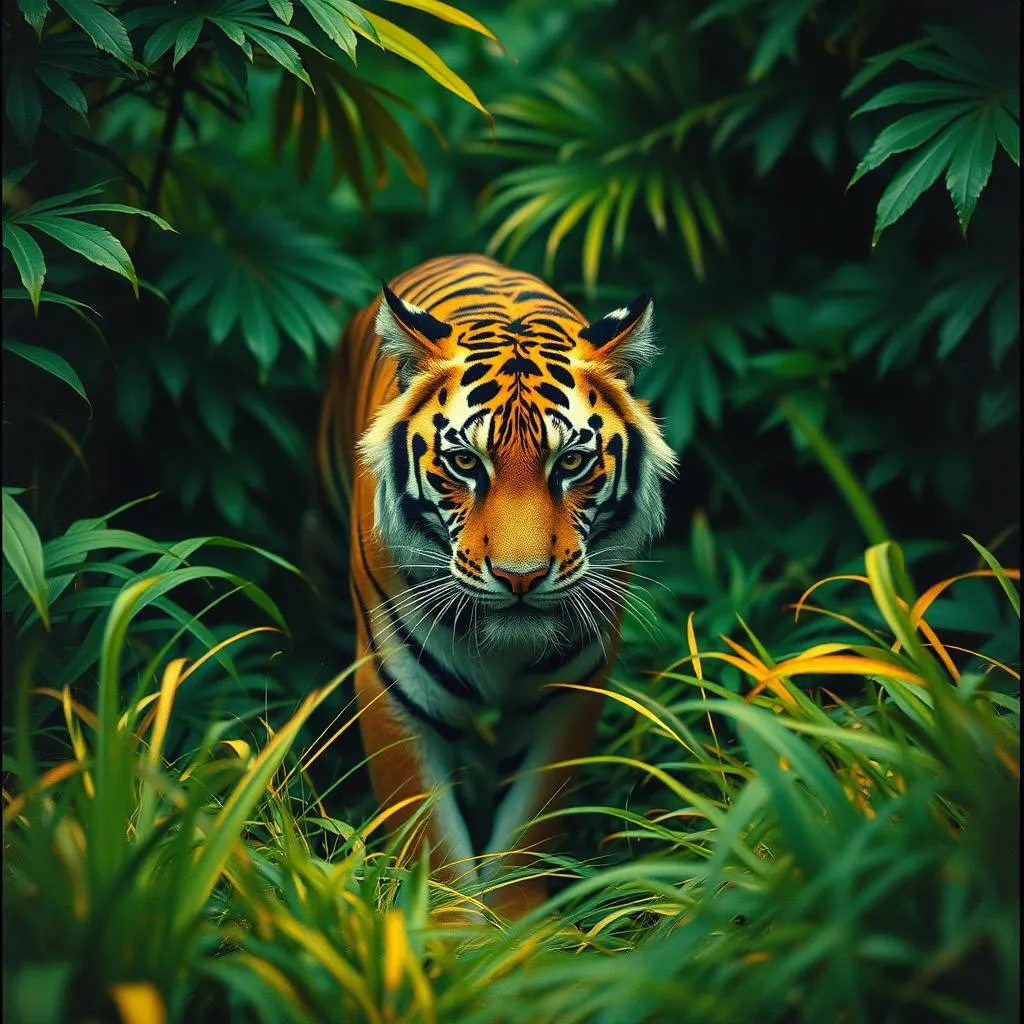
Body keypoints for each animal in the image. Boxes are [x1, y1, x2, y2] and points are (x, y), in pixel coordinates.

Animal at [316, 253, 676, 920]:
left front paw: (518, 929)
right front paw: (451, 930)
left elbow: (529, 826)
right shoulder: (395, 688)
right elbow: (428, 837)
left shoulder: (570, 689)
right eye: (465, 464)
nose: (520, 577)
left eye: (570, 463)